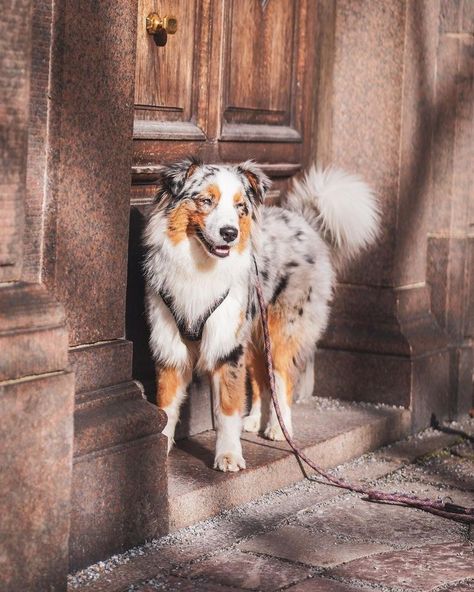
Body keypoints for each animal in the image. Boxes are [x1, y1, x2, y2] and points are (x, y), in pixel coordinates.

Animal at [143, 157, 380, 472]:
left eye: (240, 206)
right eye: (206, 200)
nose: (230, 233)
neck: (200, 268)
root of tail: (302, 221)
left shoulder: (227, 346)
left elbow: (228, 409)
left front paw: (229, 455)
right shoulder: (170, 345)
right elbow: (167, 405)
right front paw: (160, 449)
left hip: (281, 329)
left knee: (280, 378)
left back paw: (279, 429)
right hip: (255, 333)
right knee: (259, 379)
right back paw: (255, 420)